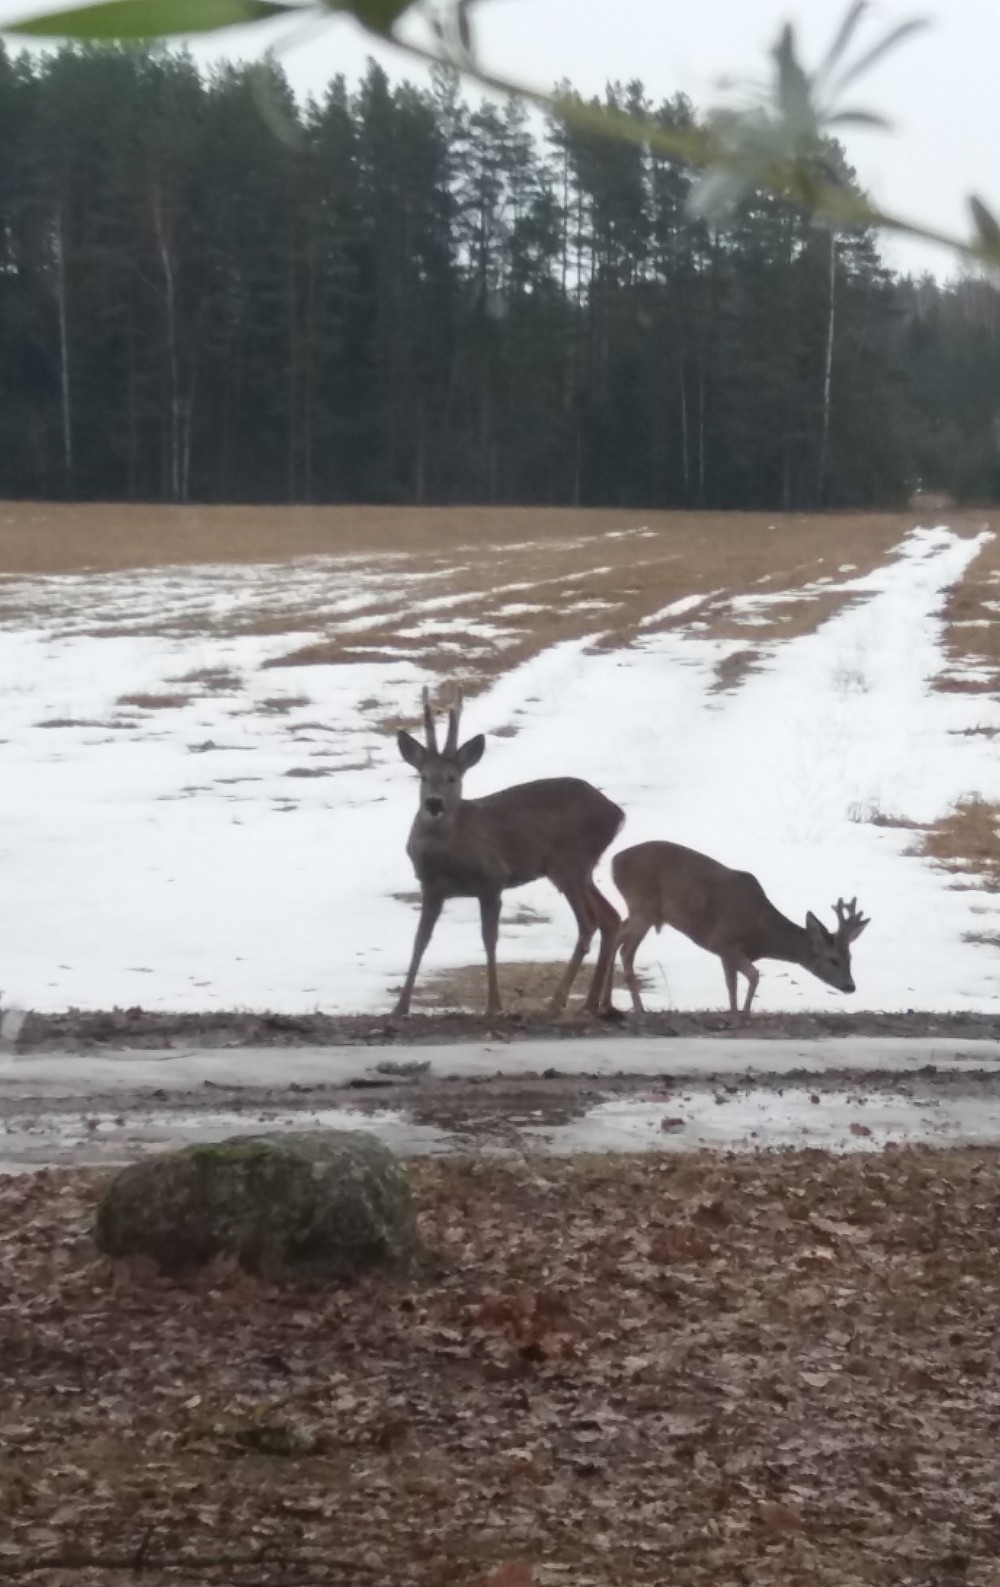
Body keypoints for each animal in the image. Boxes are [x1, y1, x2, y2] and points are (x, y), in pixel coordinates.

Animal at [393, 691, 622, 1015]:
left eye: (452, 778)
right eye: (423, 776)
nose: (434, 804)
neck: (447, 854)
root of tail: (617, 813)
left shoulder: (493, 878)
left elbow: (489, 939)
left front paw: (494, 1004)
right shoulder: (431, 886)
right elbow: (420, 940)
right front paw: (400, 1007)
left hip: (569, 864)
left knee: (589, 923)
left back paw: (558, 1001)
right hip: (583, 869)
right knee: (610, 918)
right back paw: (591, 1003)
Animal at [606, 844, 876, 1015]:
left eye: (850, 958)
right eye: (834, 959)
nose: (851, 986)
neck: (761, 934)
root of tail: (614, 862)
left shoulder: (727, 953)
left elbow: (731, 983)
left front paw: (734, 1009)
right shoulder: (723, 941)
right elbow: (753, 976)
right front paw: (745, 1013)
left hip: (643, 910)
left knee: (616, 933)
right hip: (643, 904)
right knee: (625, 949)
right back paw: (638, 1008)